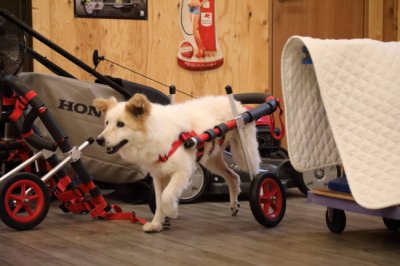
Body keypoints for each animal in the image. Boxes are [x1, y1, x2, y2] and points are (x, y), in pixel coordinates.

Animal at [92, 94, 260, 232]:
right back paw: (234, 205)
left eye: (121, 124)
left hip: (245, 155)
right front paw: (156, 224)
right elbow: (159, 201)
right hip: (213, 160)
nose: (99, 140)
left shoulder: (182, 172)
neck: (154, 133)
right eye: (107, 123)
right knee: (233, 177)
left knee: (257, 173)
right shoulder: (159, 177)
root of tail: (236, 103)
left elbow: (166, 196)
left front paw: (172, 211)